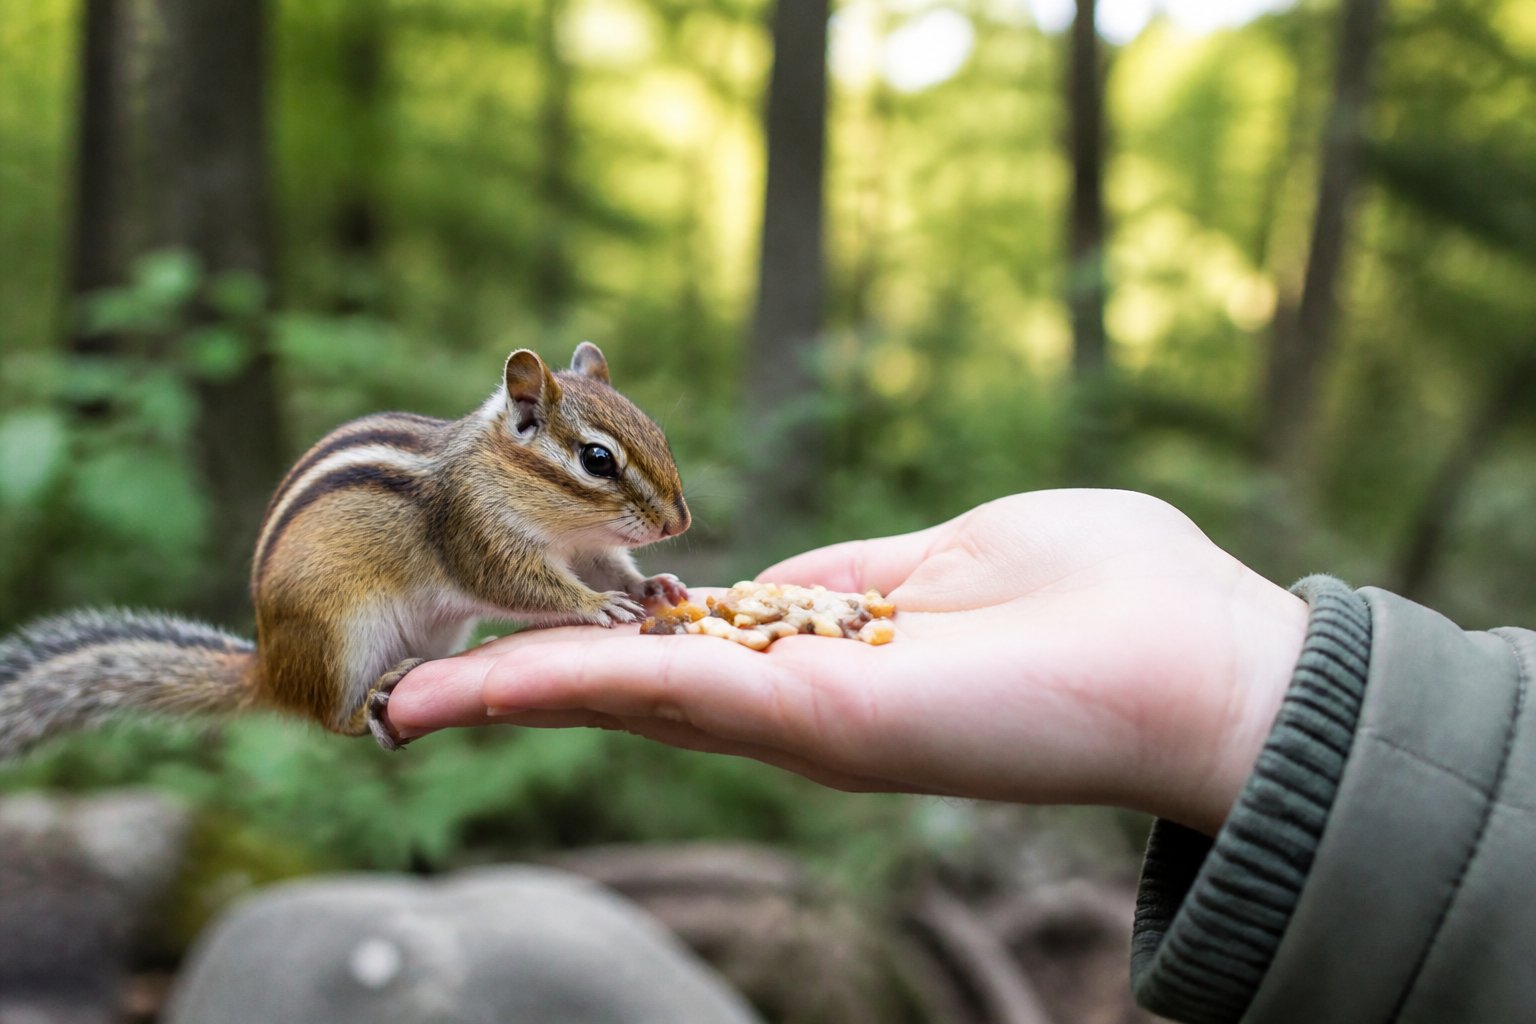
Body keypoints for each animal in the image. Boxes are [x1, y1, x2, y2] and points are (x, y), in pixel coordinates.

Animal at [0, 342, 690, 760]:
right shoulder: (474, 531)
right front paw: (600, 606)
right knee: (332, 720)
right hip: (341, 637)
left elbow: (608, 565)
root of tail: (271, 671)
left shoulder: (586, 547)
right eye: (597, 459)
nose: (678, 522)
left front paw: (654, 587)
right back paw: (375, 699)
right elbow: (522, 585)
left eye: (659, 434)